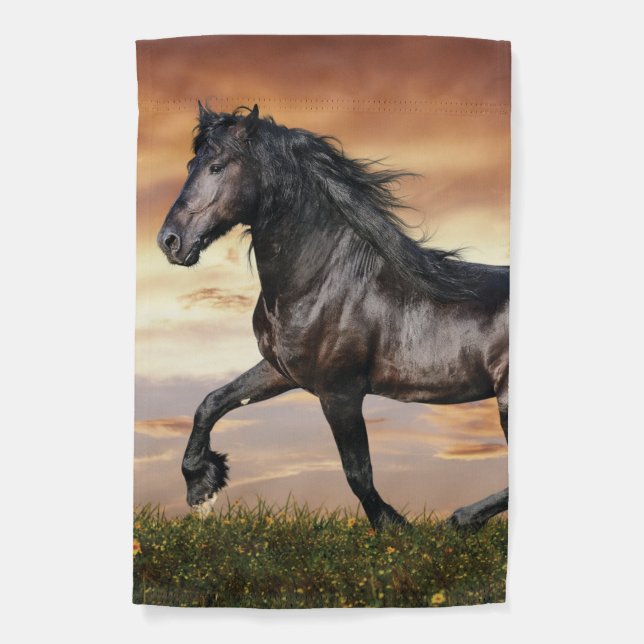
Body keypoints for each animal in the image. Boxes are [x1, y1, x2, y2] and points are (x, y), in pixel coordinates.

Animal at [157, 103, 509, 531]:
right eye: (191, 163)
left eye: (217, 166)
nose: (169, 241)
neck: (324, 280)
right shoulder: (280, 371)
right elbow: (211, 403)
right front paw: (201, 486)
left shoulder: (340, 393)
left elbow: (357, 472)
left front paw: (394, 527)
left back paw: (461, 519)